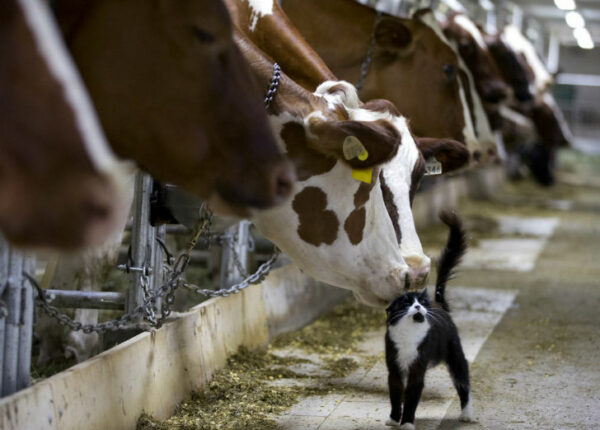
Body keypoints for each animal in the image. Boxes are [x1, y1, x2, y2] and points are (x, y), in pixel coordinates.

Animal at [384, 211, 474, 426]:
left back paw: (466, 415)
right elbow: (396, 394)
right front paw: (393, 419)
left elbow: (411, 397)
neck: (408, 334)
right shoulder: (394, 368)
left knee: (464, 383)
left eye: (422, 302)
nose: (418, 306)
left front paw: (407, 423)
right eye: (406, 302)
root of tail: (441, 306)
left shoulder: (417, 369)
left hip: (456, 356)